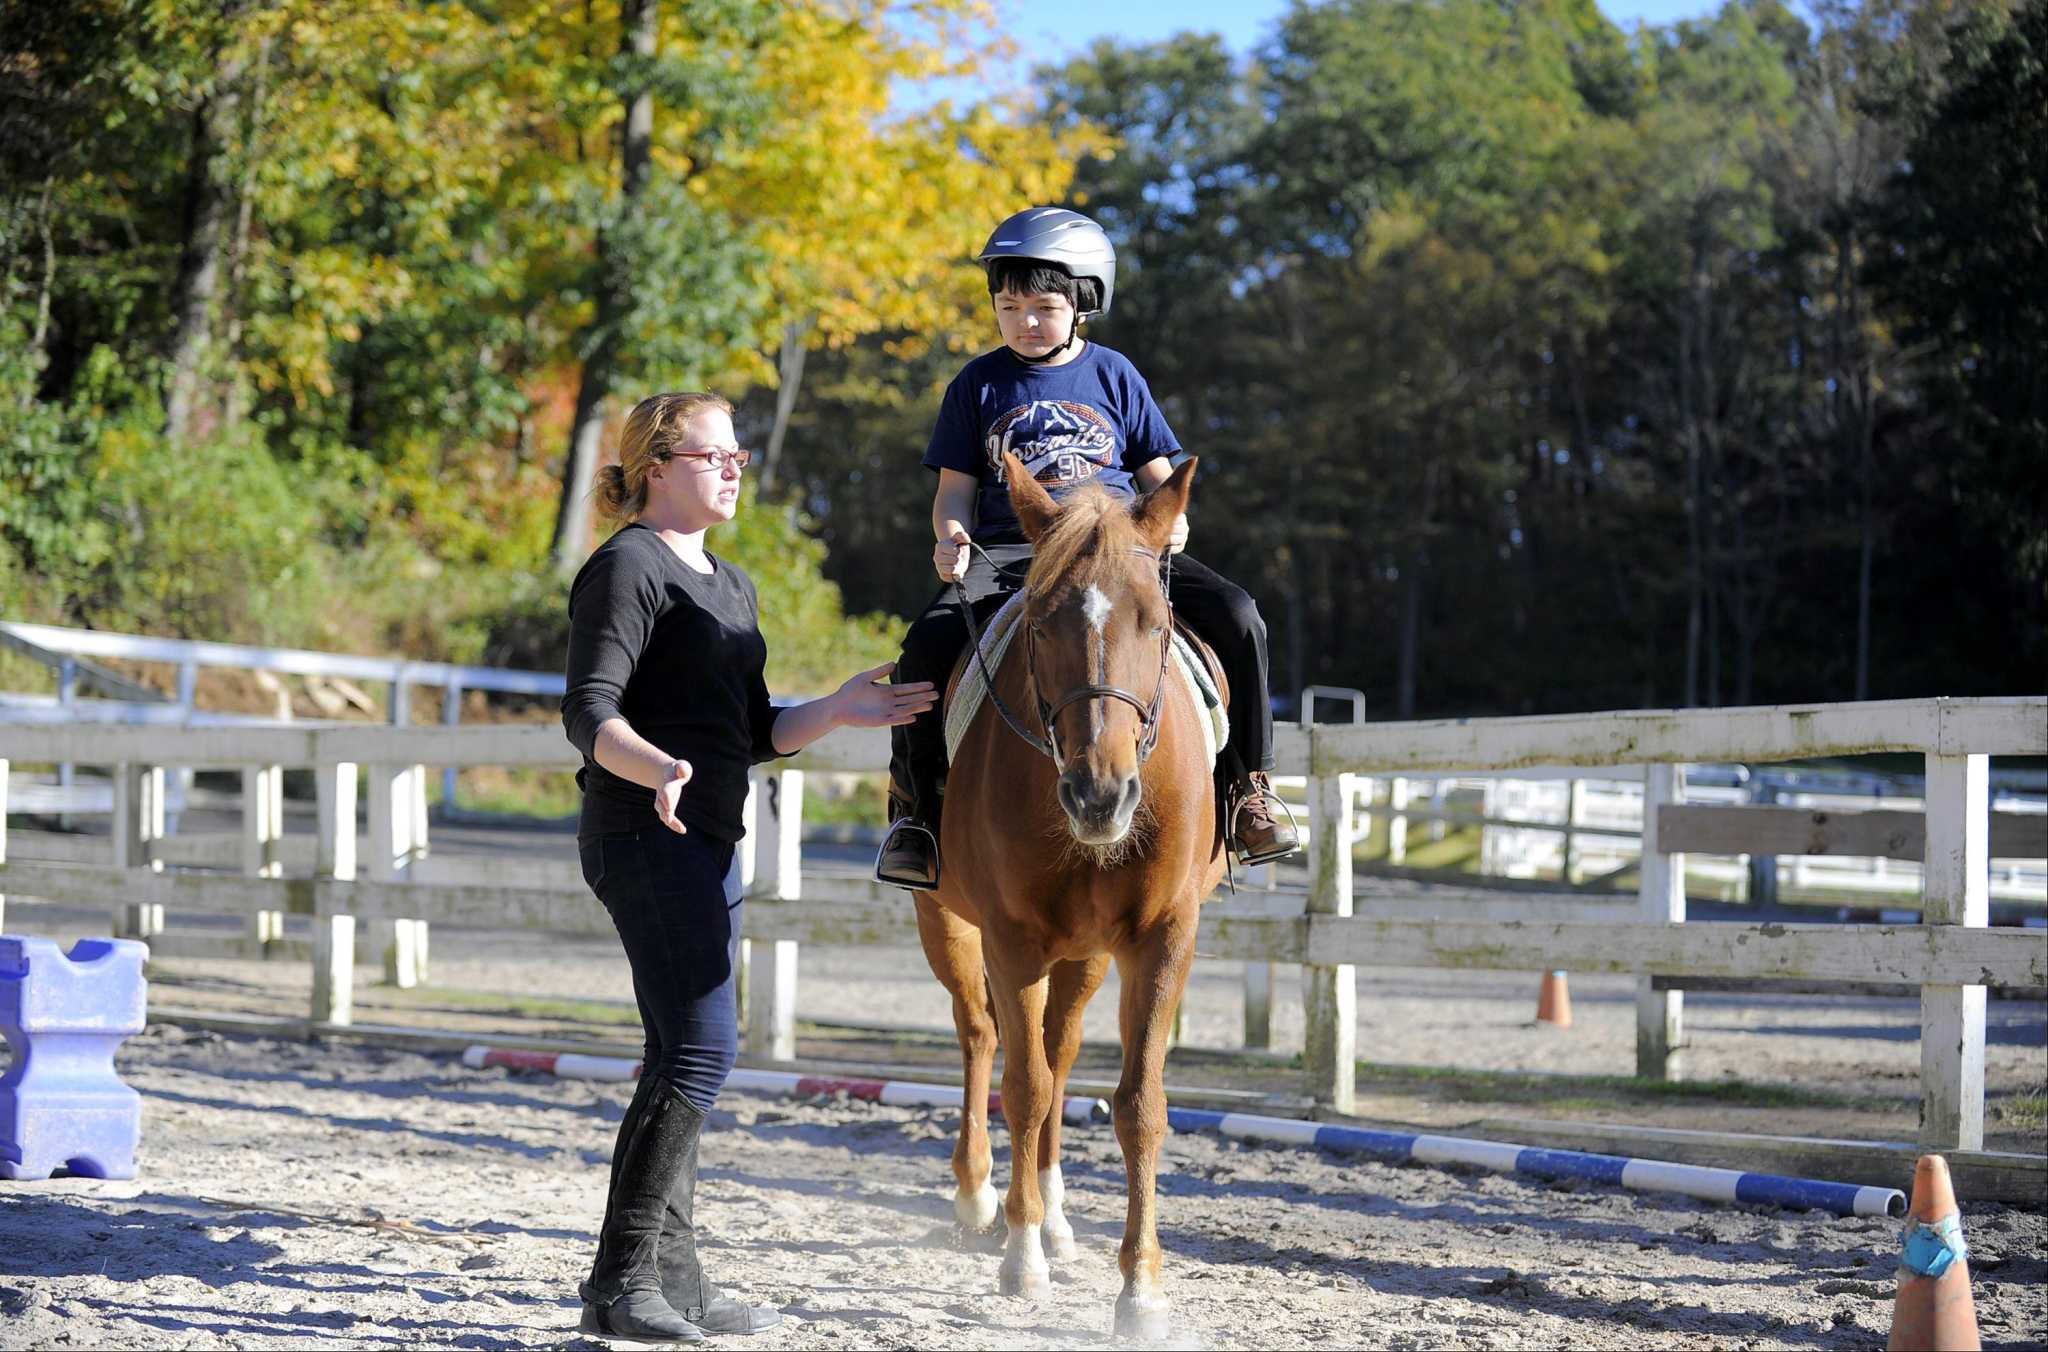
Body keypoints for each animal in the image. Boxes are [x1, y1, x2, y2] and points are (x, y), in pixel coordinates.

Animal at [909, 450, 1212, 1327]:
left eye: (1156, 621)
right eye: (1042, 624)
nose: (1098, 796)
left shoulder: (1164, 937)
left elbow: (1138, 1105)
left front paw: (1140, 1289)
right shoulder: (1011, 937)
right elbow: (1024, 1086)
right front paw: (1021, 1259)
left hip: (1085, 953)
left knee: (1062, 1045)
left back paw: (1055, 1216)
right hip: (947, 922)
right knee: (983, 1036)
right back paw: (983, 1199)